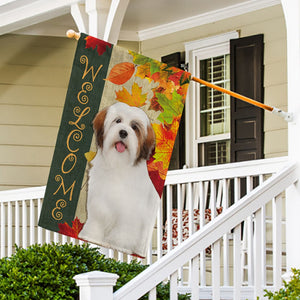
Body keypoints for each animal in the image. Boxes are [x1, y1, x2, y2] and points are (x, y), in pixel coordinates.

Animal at [78, 102, 161, 256]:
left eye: (134, 127)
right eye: (118, 120)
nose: (123, 132)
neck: (118, 163)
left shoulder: (129, 211)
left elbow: (125, 229)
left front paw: (119, 244)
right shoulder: (98, 203)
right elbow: (97, 221)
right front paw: (91, 235)